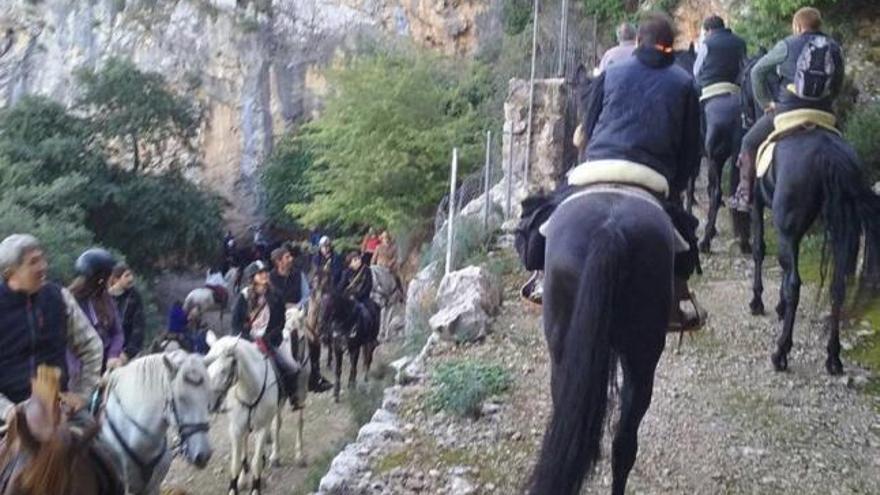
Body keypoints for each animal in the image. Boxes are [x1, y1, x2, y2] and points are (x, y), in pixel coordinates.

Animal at [204, 308, 310, 494]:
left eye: (224, 370)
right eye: (207, 368)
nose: (211, 404)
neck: (249, 388)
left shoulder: (260, 427)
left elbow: (255, 463)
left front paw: (255, 487)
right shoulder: (236, 428)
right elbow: (236, 462)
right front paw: (237, 484)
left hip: (300, 393)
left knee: (297, 421)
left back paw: (296, 455)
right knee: (273, 425)